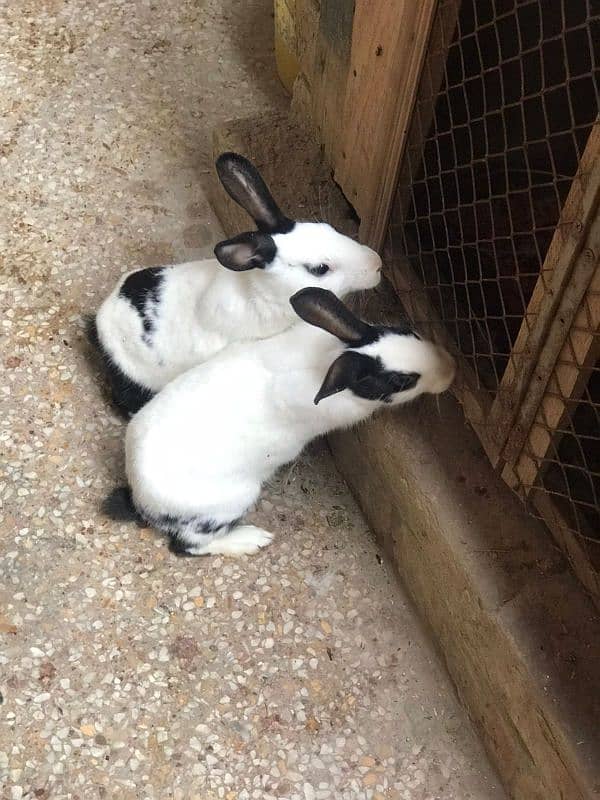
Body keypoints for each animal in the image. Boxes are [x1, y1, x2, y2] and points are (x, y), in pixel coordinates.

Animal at [104, 286, 454, 556]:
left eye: (408, 332)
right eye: (400, 381)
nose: (449, 371)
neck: (327, 358)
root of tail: (140, 499)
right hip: (229, 504)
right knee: (186, 547)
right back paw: (252, 540)